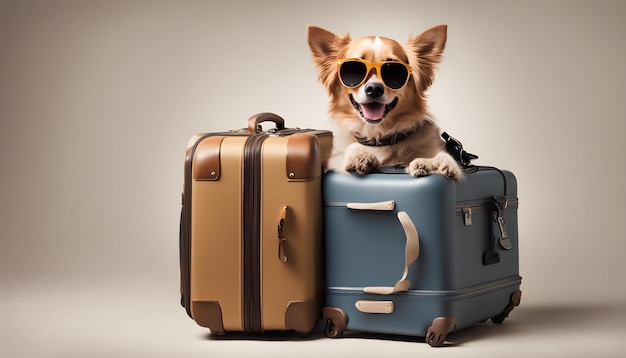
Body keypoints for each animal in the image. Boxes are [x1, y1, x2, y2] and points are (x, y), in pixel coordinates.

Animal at [306, 24, 458, 180]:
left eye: (393, 71)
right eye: (354, 69)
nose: (374, 89)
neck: (378, 135)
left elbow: (446, 159)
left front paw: (429, 163)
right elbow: (352, 148)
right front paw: (360, 155)